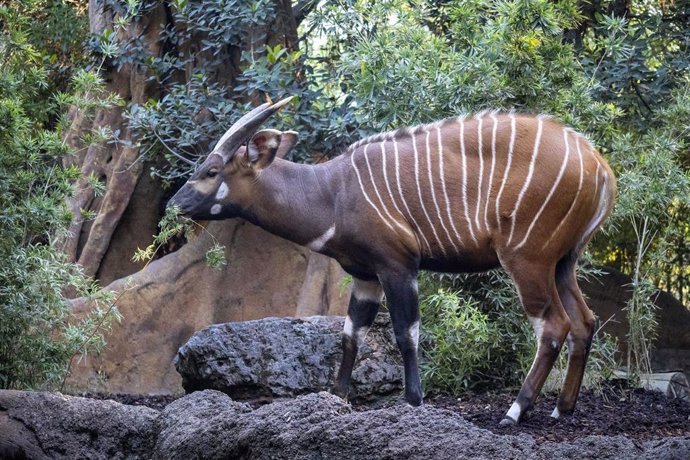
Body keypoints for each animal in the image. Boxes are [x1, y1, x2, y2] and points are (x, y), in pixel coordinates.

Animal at [167, 97, 612, 424]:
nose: (174, 204)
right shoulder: (366, 276)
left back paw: (514, 412)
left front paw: (413, 400)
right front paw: (338, 396)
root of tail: (600, 166)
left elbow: (405, 332)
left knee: (554, 326)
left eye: (211, 170)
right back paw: (562, 409)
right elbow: (351, 334)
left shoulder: (398, 266)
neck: (332, 193)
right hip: (563, 263)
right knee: (585, 322)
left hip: (527, 258)